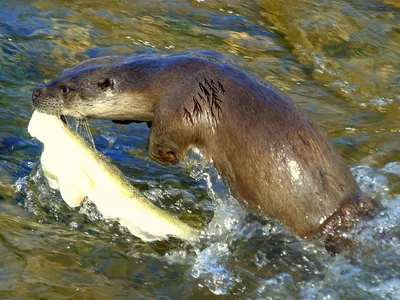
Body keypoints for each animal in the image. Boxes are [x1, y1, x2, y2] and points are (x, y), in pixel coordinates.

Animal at [31, 52, 378, 254]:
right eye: (58, 76)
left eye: (65, 89)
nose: (36, 92)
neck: (162, 81)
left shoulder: (181, 107)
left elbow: (168, 141)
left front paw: (166, 156)